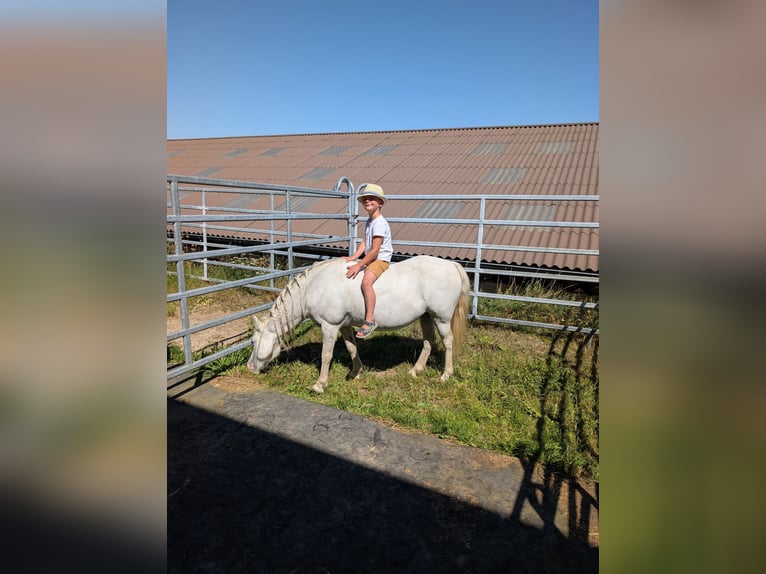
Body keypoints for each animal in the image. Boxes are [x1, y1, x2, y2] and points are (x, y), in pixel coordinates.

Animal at [247, 255, 470, 393]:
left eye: (253, 341)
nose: (250, 367)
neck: (315, 286)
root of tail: (452, 265)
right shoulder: (344, 325)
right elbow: (351, 347)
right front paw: (355, 372)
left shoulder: (329, 326)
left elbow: (326, 355)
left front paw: (320, 384)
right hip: (426, 316)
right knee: (428, 341)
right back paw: (416, 371)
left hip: (441, 318)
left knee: (447, 342)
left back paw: (445, 375)